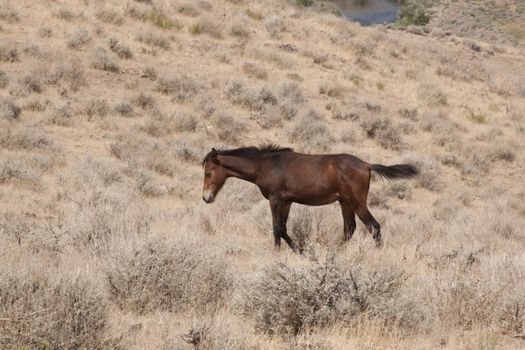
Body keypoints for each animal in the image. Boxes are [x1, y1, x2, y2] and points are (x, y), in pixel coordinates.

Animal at [201, 145, 418, 252]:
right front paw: (296, 250)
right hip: (345, 203)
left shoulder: (275, 199)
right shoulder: (287, 201)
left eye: (208, 173)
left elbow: (277, 228)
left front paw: (287, 251)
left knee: (373, 226)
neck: (267, 165)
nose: (206, 198)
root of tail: (367, 165)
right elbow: (282, 228)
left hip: (357, 202)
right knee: (350, 229)